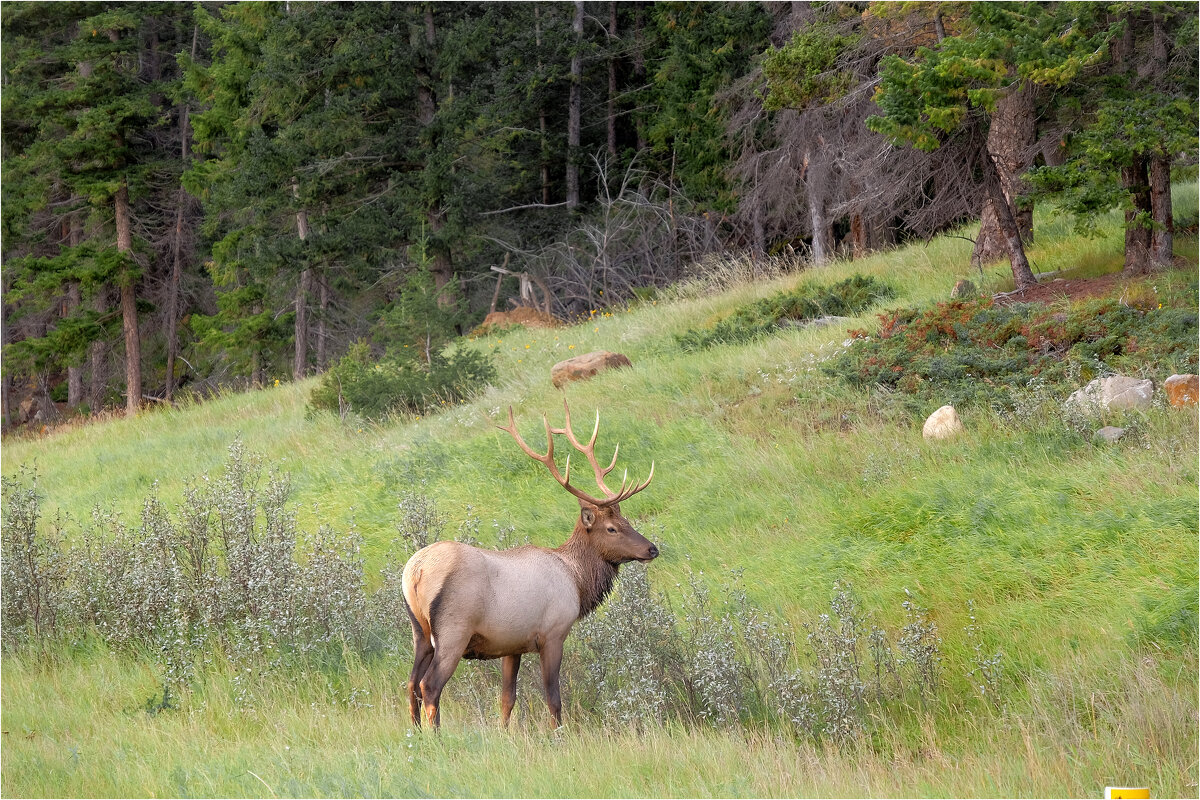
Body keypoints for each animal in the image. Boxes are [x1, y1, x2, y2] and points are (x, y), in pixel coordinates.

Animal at [400, 400, 657, 734]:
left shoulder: (511, 645)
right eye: (612, 528)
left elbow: (507, 699)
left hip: (419, 631)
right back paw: (436, 736)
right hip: (453, 630)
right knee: (429, 685)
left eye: (626, 521)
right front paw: (557, 735)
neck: (577, 581)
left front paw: (505, 734)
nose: (652, 549)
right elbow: (553, 698)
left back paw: (416, 733)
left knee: (410, 684)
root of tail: (415, 571)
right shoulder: (553, 633)